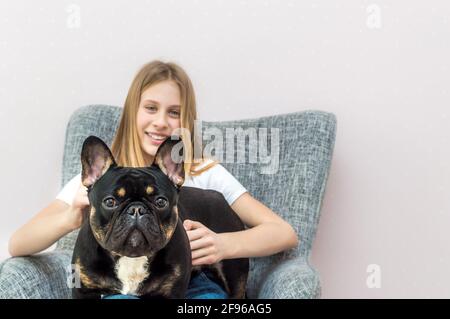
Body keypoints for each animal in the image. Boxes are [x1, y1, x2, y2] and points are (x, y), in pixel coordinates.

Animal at [72, 136, 251, 300]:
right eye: (110, 202)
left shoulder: (171, 291)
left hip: (233, 270)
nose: (136, 209)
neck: (131, 257)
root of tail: (222, 198)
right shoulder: (83, 290)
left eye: (160, 202)